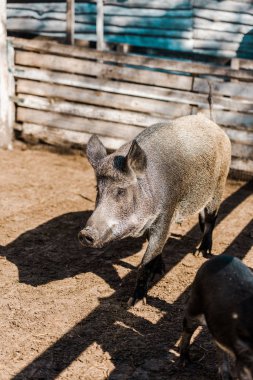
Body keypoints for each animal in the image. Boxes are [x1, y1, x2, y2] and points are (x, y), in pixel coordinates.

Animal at [79, 113, 231, 306]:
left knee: (211, 220)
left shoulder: (166, 213)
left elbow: (147, 258)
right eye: (98, 190)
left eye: (121, 191)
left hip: (219, 186)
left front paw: (134, 302)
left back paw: (200, 253)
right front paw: (159, 271)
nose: (85, 233)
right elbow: (156, 248)